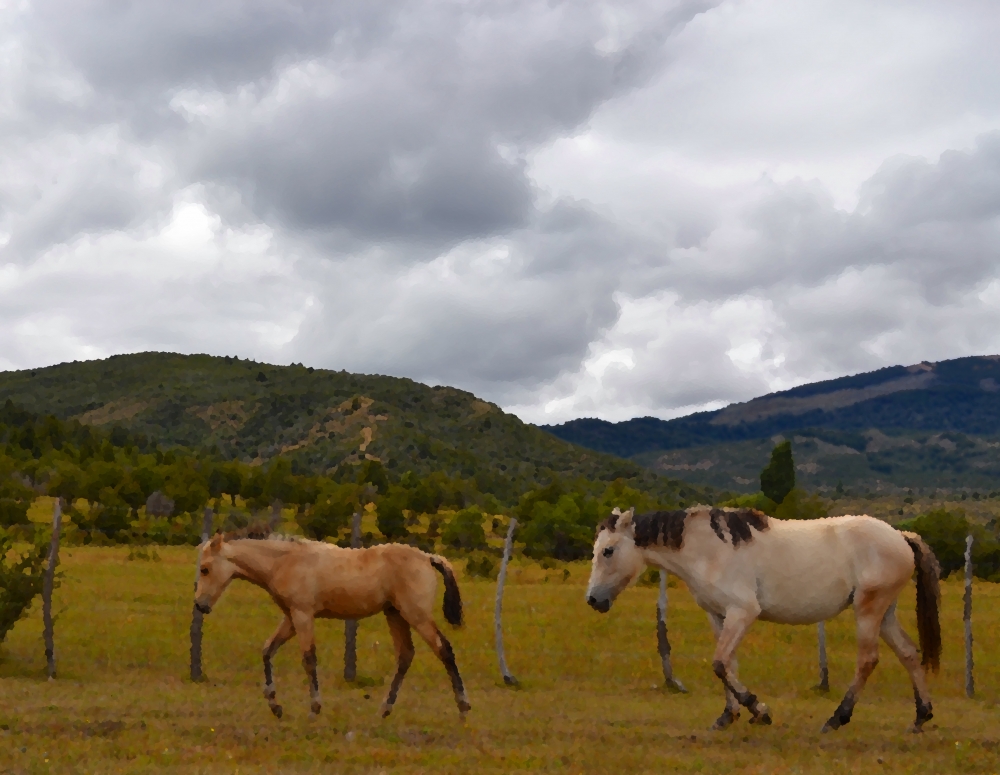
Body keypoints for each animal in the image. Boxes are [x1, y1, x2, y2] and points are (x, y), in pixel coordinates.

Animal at [584, 506, 940, 736]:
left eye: (608, 551)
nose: (593, 600)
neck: (707, 549)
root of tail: (900, 536)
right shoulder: (719, 616)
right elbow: (727, 665)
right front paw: (728, 716)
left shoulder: (743, 612)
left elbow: (719, 663)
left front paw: (759, 710)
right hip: (885, 613)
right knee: (909, 653)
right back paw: (920, 717)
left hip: (868, 610)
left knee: (868, 660)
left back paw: (836, 719)